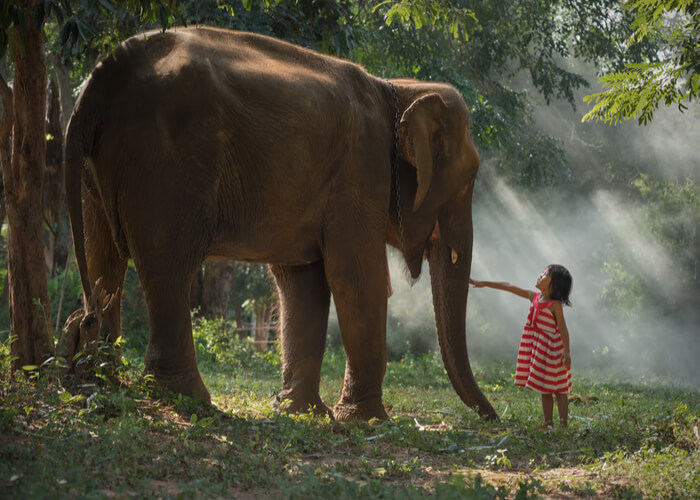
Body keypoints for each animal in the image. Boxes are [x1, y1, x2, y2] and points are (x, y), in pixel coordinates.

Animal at [64, 26, 498, 422]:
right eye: (470, 178)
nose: (491, 418)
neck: (398, 88)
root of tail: (96, 84)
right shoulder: (360, 171)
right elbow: (357, 277)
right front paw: (366, 420)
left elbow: (303, 280)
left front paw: (302, 412)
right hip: (164, 163)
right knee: (168, 264)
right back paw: (189, 401)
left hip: (99, 169)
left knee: (105, 260)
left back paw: (102, 376)